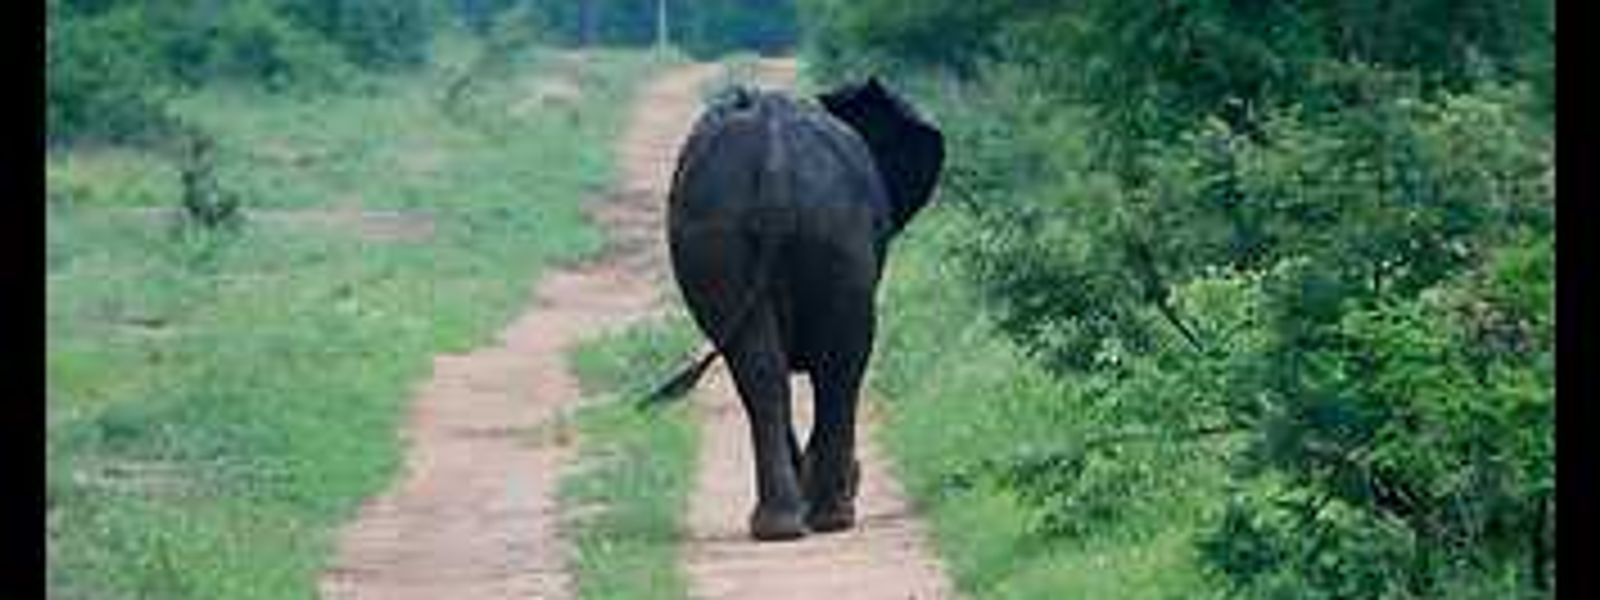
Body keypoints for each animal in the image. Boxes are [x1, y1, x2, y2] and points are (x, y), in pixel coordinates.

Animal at [663, 77, 944, 541]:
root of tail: (774, 160)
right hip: (830, 233)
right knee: (839, 363)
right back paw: (827, 517)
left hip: (743, 233)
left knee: (768, 368)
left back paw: (787, 524)